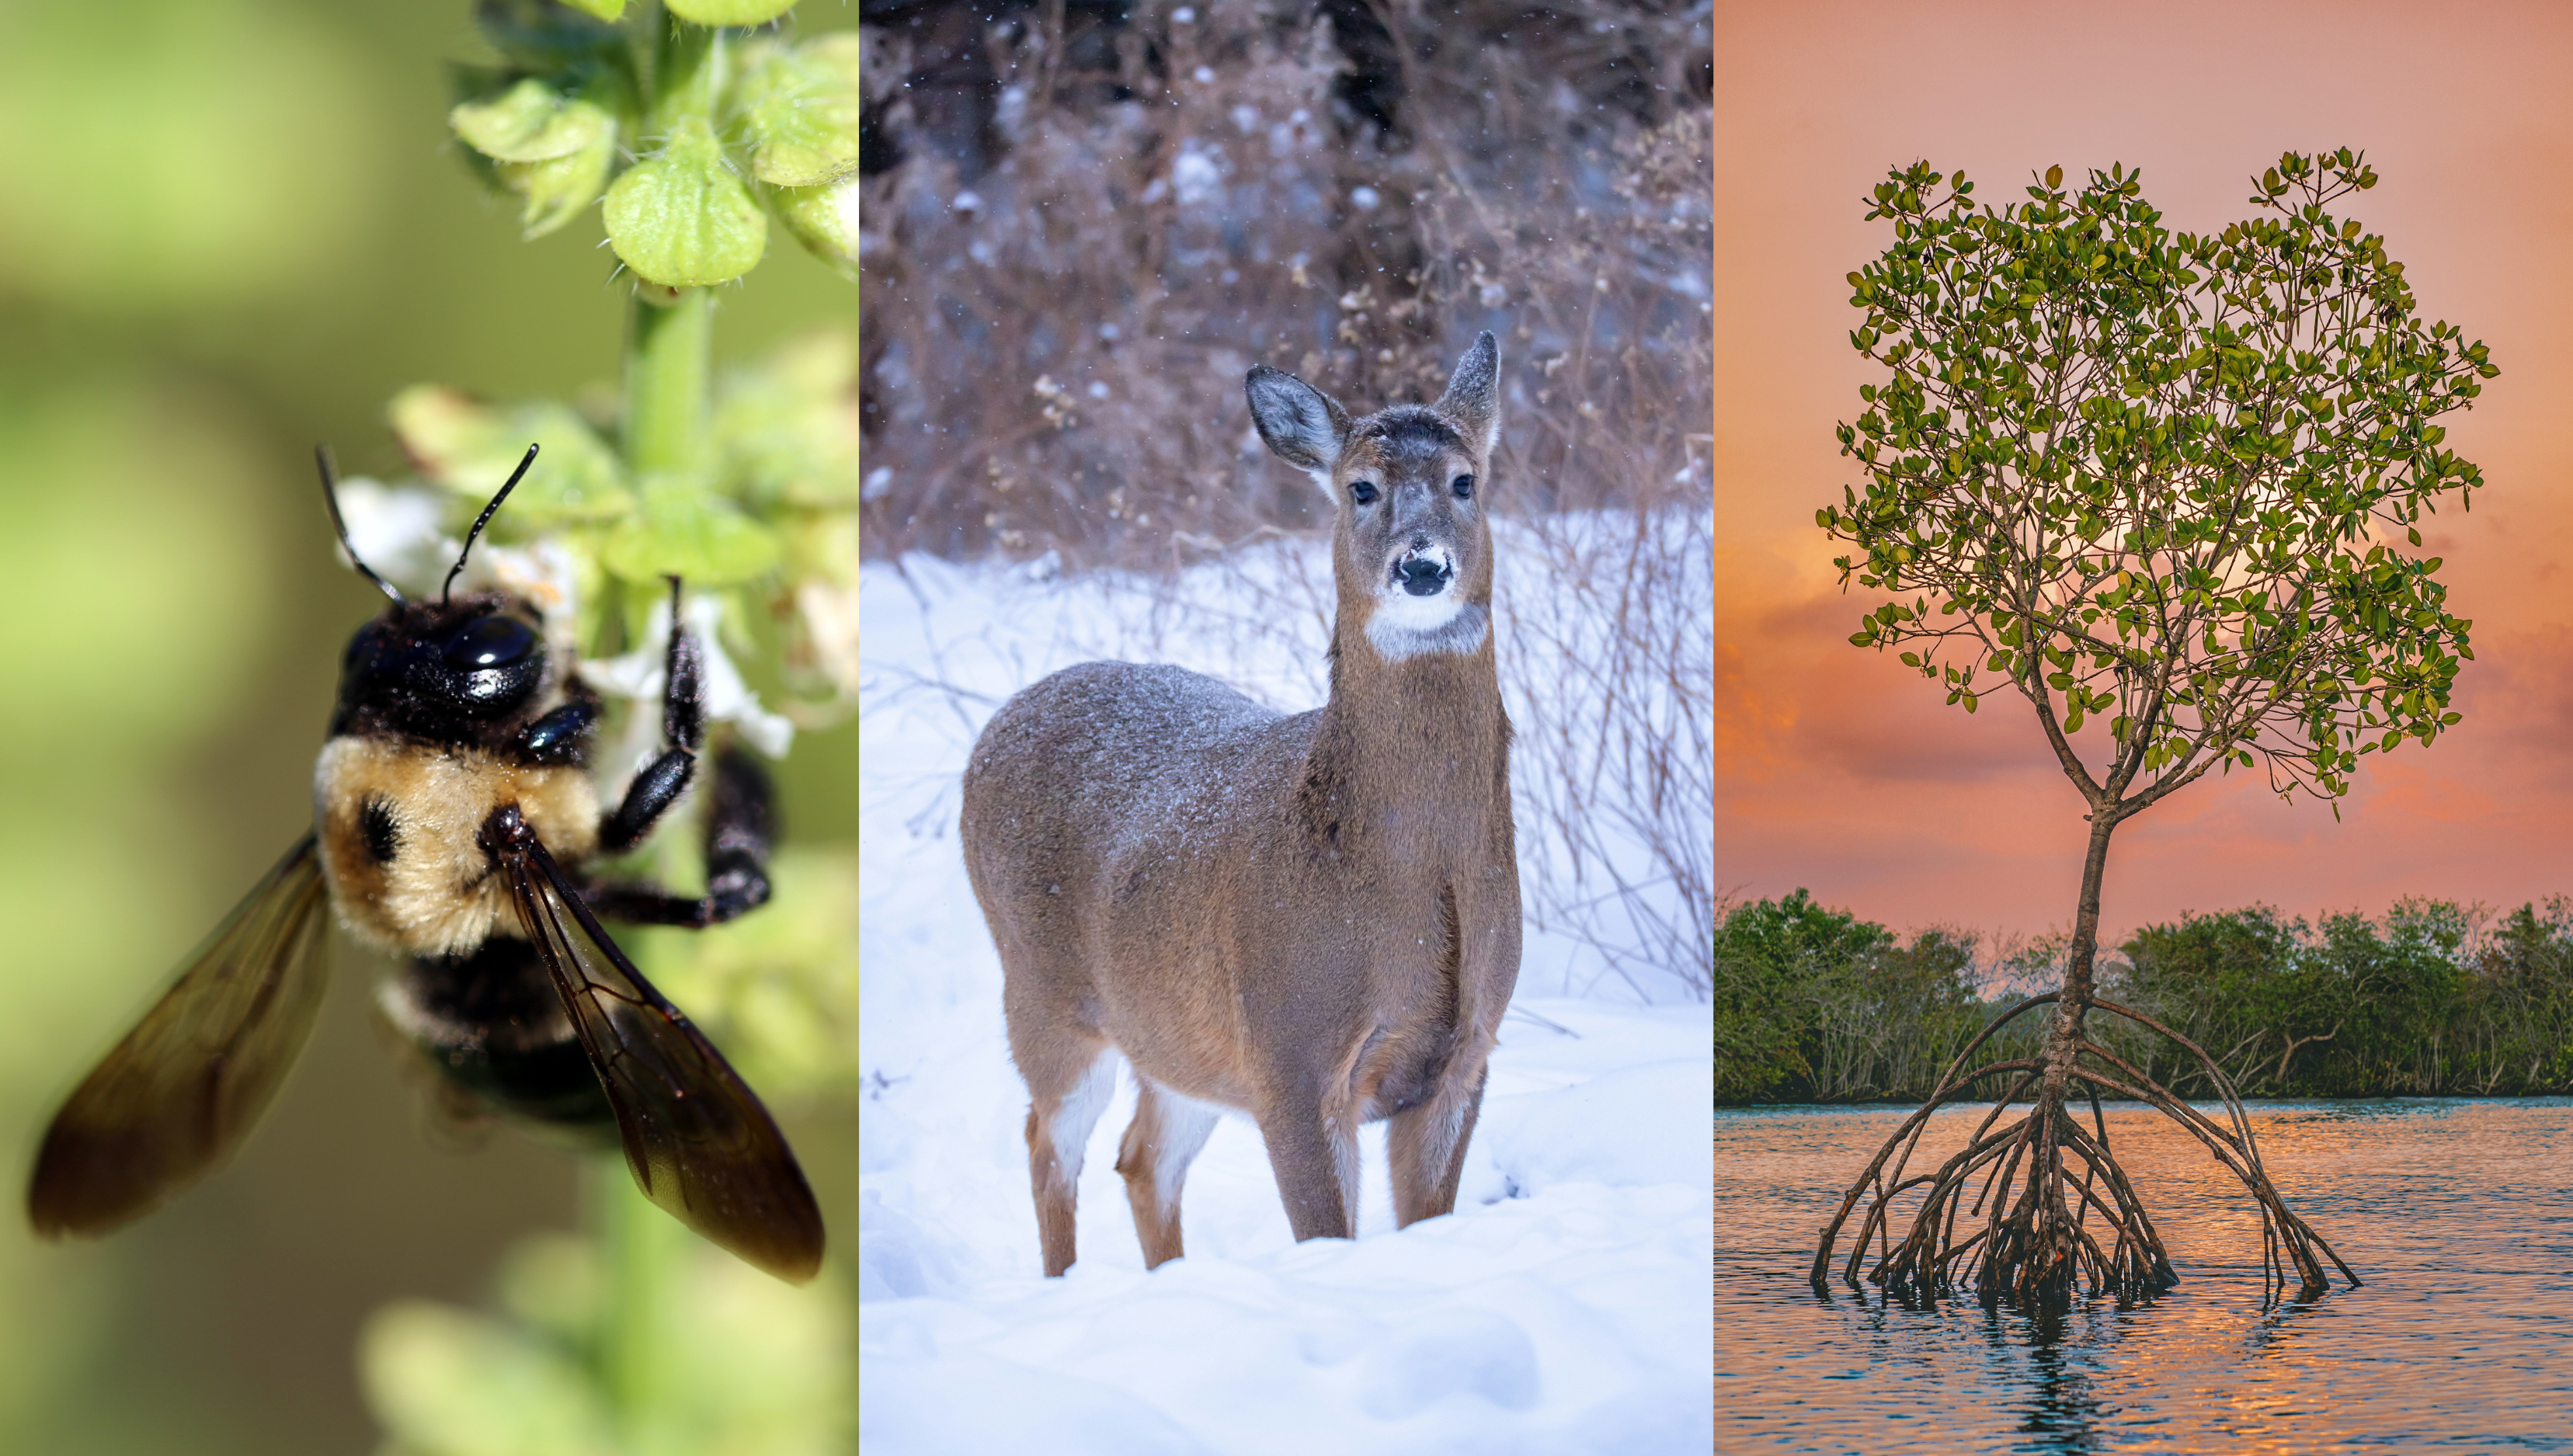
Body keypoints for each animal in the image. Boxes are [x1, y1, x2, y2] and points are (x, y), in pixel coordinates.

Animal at [960, 333, 1522, 1277]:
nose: (1420, 565)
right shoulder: (1289, 1051)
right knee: (1048, 1142)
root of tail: (999, 723)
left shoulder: (1465, 1054)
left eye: (1464, 479)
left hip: (1177, 1031)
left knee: (1142, 1157)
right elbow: (1327, 1234)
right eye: (1359, 487)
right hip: (1038, 989)